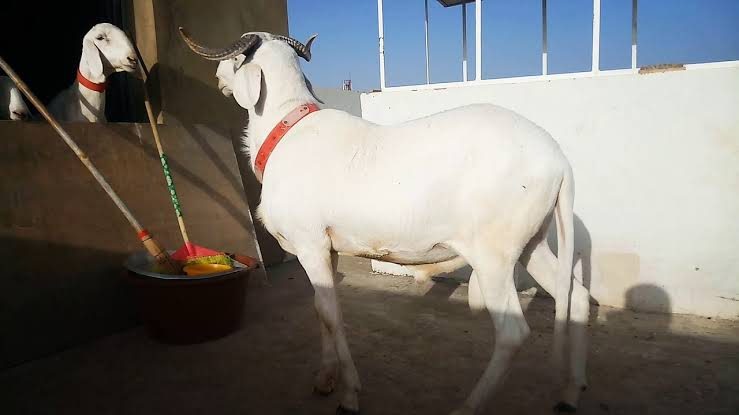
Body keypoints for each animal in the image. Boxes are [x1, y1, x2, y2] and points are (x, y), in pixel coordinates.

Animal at [181, 28, 591, 415]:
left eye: (235, 59)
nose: (217, 77)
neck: (287, 129)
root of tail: (559, 161)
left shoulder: (310, 243)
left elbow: (331, 313)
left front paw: (349, 395)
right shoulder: (326, 248)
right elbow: (319, 309)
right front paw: (325, 378)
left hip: (494, 253)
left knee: (512, 333)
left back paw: (468, 406)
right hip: (530, 240)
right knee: (577, 298)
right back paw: (571, 393)